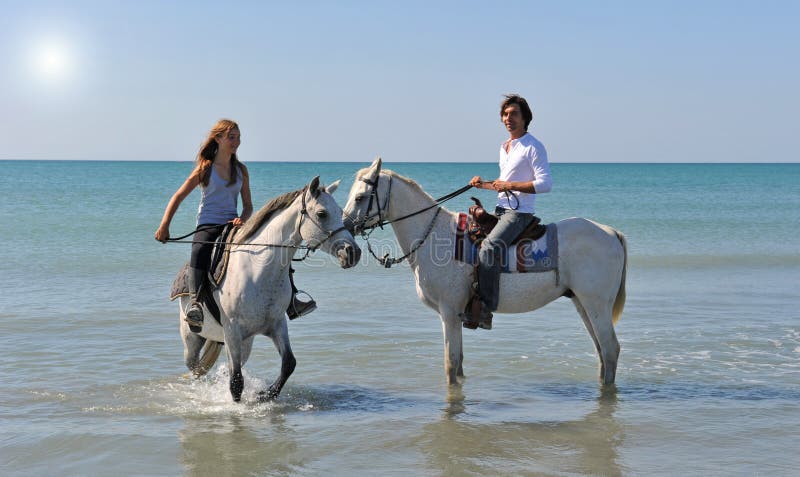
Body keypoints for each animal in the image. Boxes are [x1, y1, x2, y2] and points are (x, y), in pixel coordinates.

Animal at [180, 177, 360, 400]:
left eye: (339, 211)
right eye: (321, 213)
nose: (353, 252)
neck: (258, 270)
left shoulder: (276, 324)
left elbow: (289, 363)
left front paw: (264, 395)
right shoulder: (232, 330)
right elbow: (236, 382)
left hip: (244, 343)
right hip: (193, 339)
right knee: (196, 367)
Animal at [340, 160, 628, 386]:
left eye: (360, 197)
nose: (344, 233)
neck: (434, 235)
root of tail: (611, 232)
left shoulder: (450, 312)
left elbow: (450, 365)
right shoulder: (455, 315)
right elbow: (459, 363)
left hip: (596, 304)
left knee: (610, 349)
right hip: (582, 303)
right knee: (601, 351)